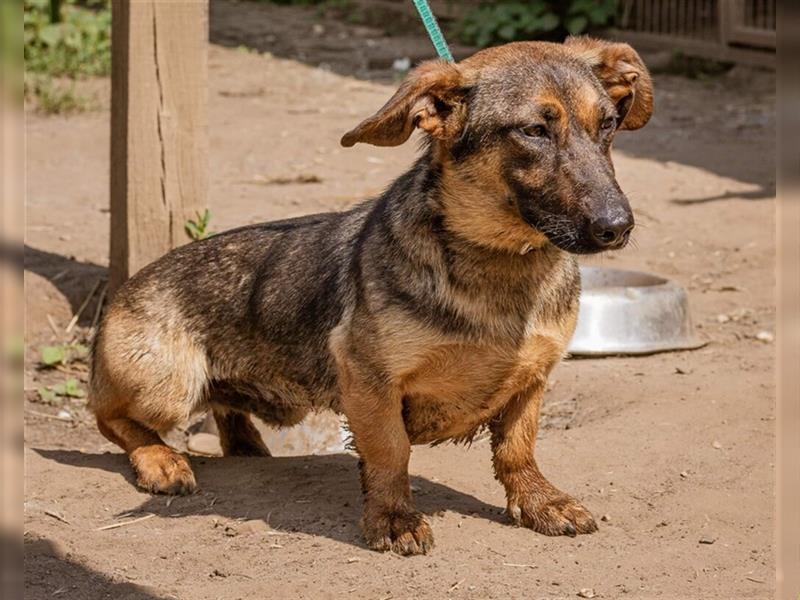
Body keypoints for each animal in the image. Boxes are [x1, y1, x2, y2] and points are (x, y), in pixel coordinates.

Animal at [89, 35, 648, 556]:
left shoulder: (532, 378)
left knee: (226, 411)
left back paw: (246, 445)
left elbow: (518, 447)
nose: (617, 228)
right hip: (168, 386)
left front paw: (538, 501)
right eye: (534, 130)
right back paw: (161, 460)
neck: (501, 263)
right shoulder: (370, 378)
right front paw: (393, 518)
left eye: (607, 125)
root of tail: (125, 289)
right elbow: (390, 451)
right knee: (111, 418)